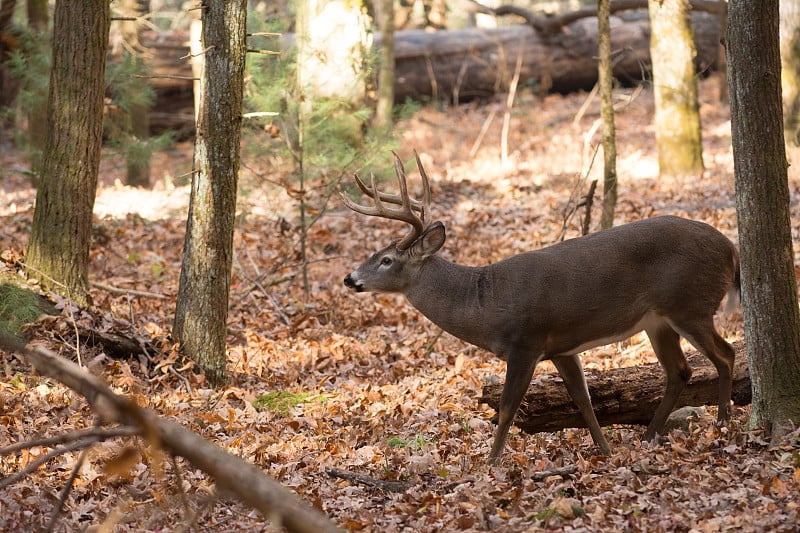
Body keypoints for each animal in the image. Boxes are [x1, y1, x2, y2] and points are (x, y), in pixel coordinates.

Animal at [340, 150, 740, 462]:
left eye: (387, 259)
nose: (349, 278)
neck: (484, 303)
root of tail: (731, 250)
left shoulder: (525, 342)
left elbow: (506, 408)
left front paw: (491, 463)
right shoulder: (562, 347)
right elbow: (583, 400)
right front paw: (605, 450)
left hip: (689, 304)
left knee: (726, 353)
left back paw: (723, 421)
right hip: (658, 321)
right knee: (680, 371)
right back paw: (649, 435)